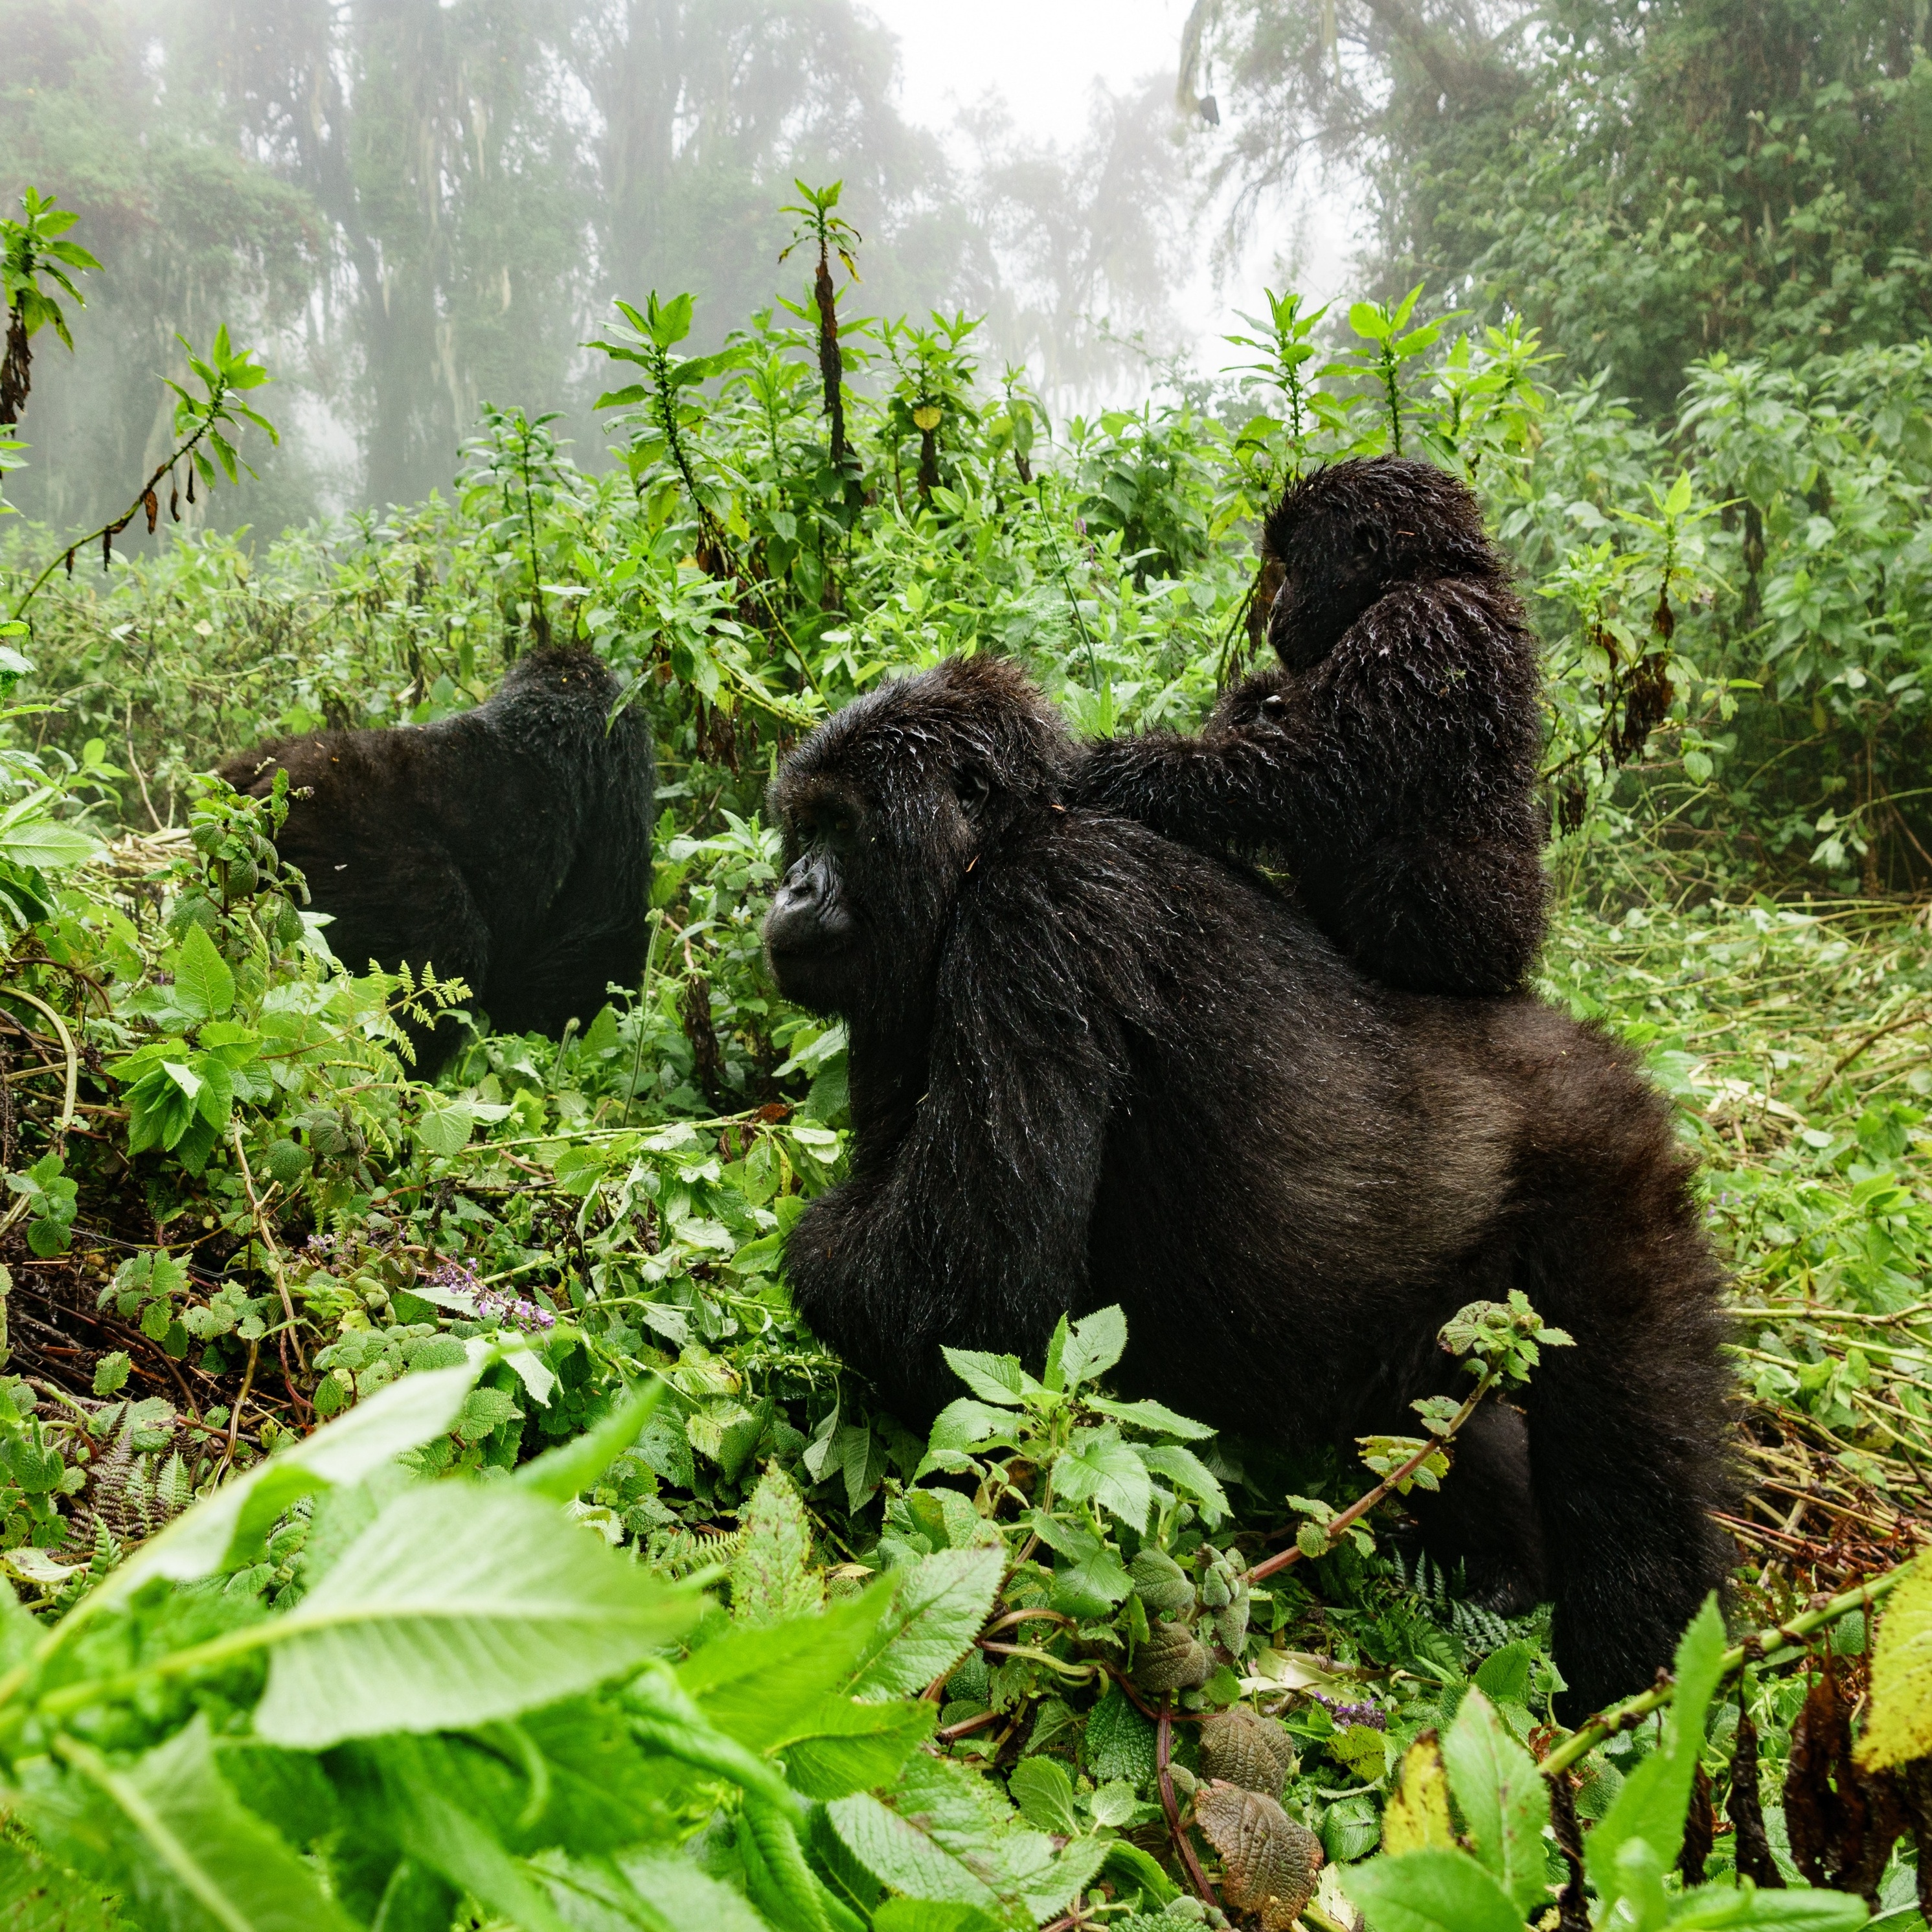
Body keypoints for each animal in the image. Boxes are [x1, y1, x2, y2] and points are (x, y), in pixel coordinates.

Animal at [763, 653, 1733, 1717]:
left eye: (839, 826)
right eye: (802, 826)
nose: (787, 886)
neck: (1011, 833)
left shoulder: (1037, 913)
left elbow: (959, 1300)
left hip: (1606, 1159)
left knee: (1628, 1443)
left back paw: (1634, 1680)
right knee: (1430, 1416)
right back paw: (1505, 1571)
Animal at [1073, 456, 1549, 997]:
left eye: (1296, 568)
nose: (1277, 605)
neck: (1422, 572)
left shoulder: (1418, 624)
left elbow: (1317, 775)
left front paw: (1125, 769)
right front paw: (1248, 703)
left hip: (1499, 933)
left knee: (1414, 862)